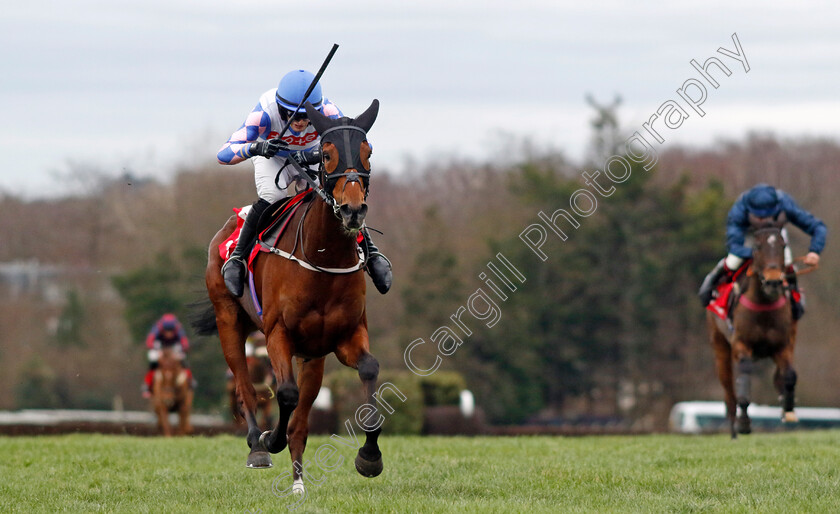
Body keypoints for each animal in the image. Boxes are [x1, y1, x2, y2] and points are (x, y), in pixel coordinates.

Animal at [194, 99, 384, 488]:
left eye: (368, 151)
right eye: (326, 154)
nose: (353, 210)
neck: (322, 257)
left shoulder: (345, 336)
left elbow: (369, 368)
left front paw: (370, 455)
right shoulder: (276, 333)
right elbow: (284, 393)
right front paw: (270, 439)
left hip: (312, 356)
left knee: (301, 420)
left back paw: (298, 481)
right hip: (228, 321)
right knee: (245, 388)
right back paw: (258, 446)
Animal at [704, 218, 812, 438]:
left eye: (782, 245)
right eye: (757, 246)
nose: (773, 281)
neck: (764, 304)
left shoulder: (783, 345)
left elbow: (789, 375)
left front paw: (788, 407)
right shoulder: (741, 344)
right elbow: (744, 376)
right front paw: (744, 423)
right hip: (719, 344)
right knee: (728, 391)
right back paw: (733, 430)